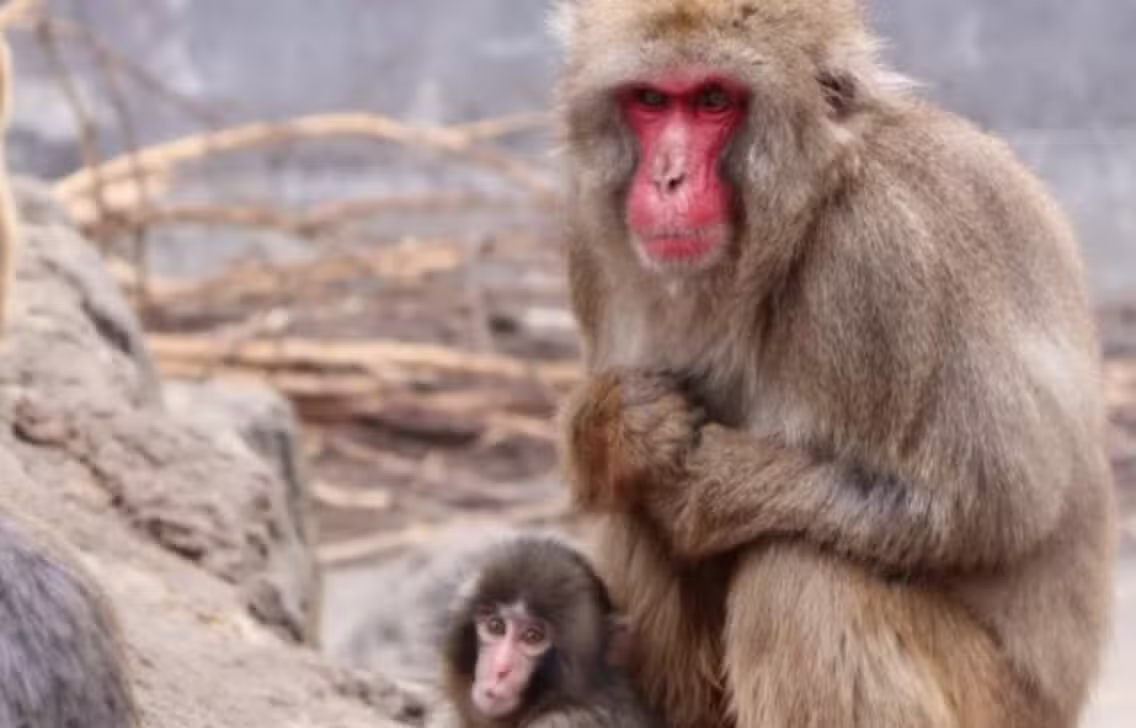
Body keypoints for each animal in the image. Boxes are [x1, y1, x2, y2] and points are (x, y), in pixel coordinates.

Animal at [551, 2, 1116, 728]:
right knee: (632, 510)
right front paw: (621, 426)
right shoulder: (590, 248)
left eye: (713, 100)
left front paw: (706, 488)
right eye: (650, 100)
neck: (803, 213)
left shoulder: (876, 254)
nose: (667, 179)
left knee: (805, 574)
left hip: (1001, 704)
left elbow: (990, 502)